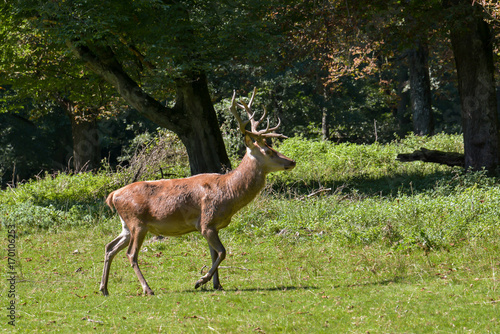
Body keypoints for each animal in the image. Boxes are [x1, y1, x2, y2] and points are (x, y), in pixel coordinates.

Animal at [100, 88, 296, 294]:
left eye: (271, 146)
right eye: (268, 151)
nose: (292, 161)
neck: (228, 193)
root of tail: (113, 196)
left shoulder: (212, 226)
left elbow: (214, 254)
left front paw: (217, 284)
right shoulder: (206, 221)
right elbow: (223, 252)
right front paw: (200, 280)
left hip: (126, 225)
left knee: (109, 247)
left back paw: (104, 288)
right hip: (137, 223)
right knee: (131, 254)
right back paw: (147, 289)